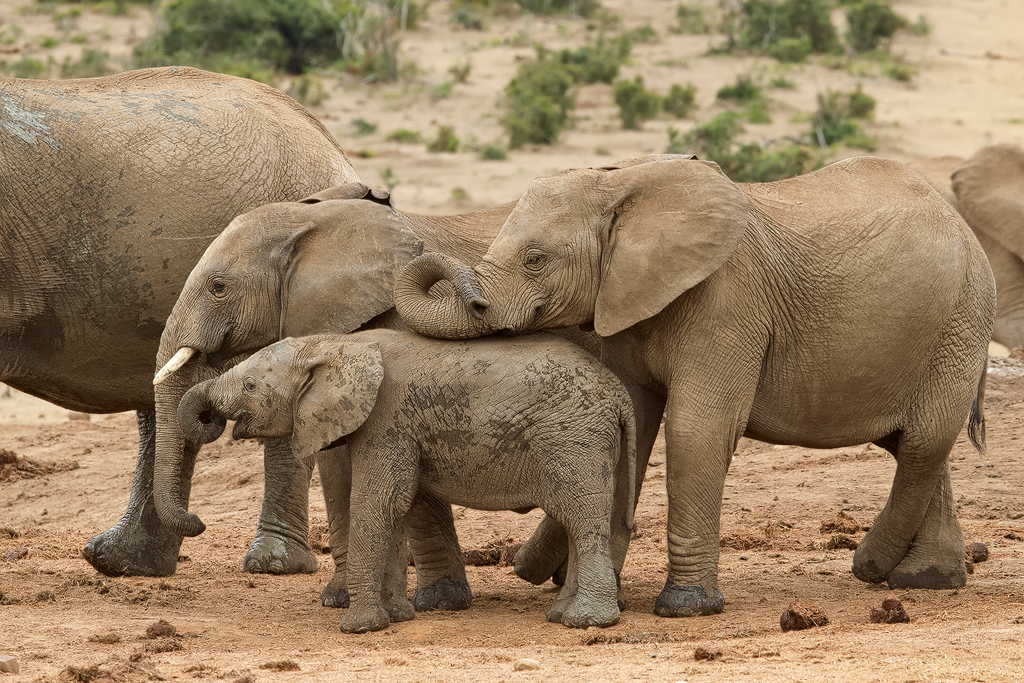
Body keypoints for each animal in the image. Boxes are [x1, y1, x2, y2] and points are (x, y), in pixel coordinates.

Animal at [179, 327, 634, 634]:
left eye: (250, 385)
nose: (208, 419)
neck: (334, 344)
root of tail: (619, 393)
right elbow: (396, 507)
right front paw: (398, 617)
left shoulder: (387, 419)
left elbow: (377, 502)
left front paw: (359, 628)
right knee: (578, 520)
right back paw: (561, 615)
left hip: (574, 437)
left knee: (582, 518)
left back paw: (586, 622)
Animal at [395, 154, 995, 618]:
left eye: (536, 258)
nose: (520, 568)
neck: (624, 182)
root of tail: (960, 221)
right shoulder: (625, 299)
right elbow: (632, 423)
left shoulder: (728, 300)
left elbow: (695, 431)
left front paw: (685, 607)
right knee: (911, 444)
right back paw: (924, 580)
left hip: (962, 320)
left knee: (921, 442)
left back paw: (874, 568)